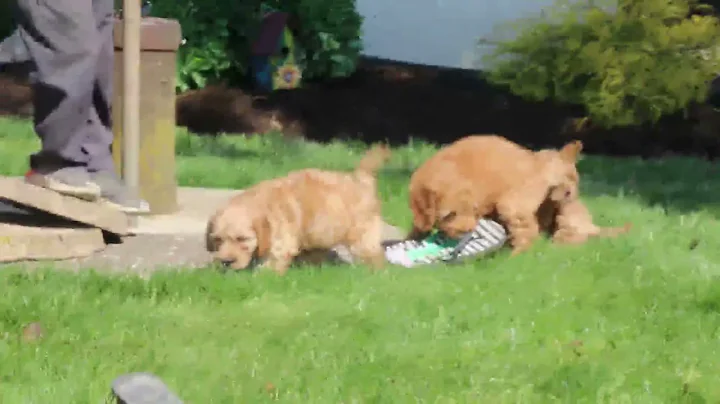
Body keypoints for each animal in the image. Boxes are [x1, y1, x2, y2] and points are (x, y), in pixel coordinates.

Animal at [205, 144, 390, 274]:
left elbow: (271, 265)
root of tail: (360, 177)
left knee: (374, 255)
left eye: (242, 239)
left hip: (362, 235)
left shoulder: (281, 242)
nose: (226, 262)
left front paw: (260, 276)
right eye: (218, 239)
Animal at [408, 137, 584, 256]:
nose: (468, 231)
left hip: (511, 205)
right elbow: (418, 226)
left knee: (527, 232)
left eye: (473, 211)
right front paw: (411, 238)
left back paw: (512, 257)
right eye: (450, 215)